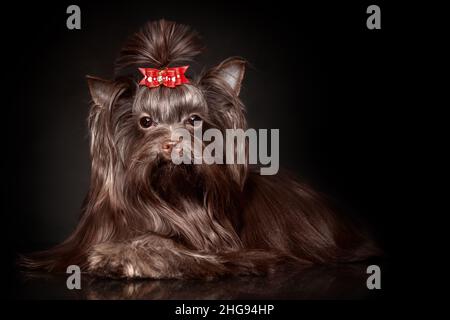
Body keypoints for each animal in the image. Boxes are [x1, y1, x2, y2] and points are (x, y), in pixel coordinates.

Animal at [22, 20, 382, 280]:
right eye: (145, 122)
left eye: (194, 119)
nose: (172, 143)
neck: (175, 197)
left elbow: (165, 247)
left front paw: (130, 256)